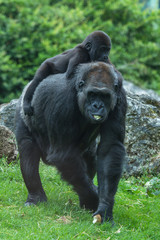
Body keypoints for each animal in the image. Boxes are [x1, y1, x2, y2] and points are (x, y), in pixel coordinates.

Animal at [15, 62, 127, 223]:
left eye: (105, 96)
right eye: (92, 94)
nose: (97, 106)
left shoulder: (120, 97)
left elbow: (109, 149)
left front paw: (104, 206)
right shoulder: (62, 101)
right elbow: (63, 154)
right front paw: (93, 198)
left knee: (90, 158)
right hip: (23, 113)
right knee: (28, 155)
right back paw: (35, 197)